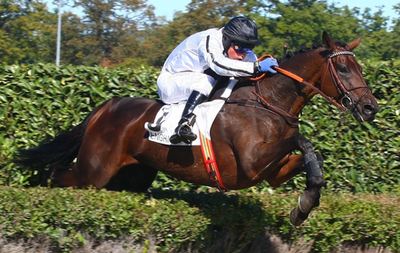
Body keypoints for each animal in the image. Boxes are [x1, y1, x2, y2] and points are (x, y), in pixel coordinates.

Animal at [14, 32, 378, 226]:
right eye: (343, 68)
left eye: (359, 66)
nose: (370, 107)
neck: (268, 102)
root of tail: (106, 107)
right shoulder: (251, 166)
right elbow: (298, 140)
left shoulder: (272, 172)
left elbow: (310, 157)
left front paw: (304, 205)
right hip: (94, 172)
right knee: (59, 177)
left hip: (130, 177)